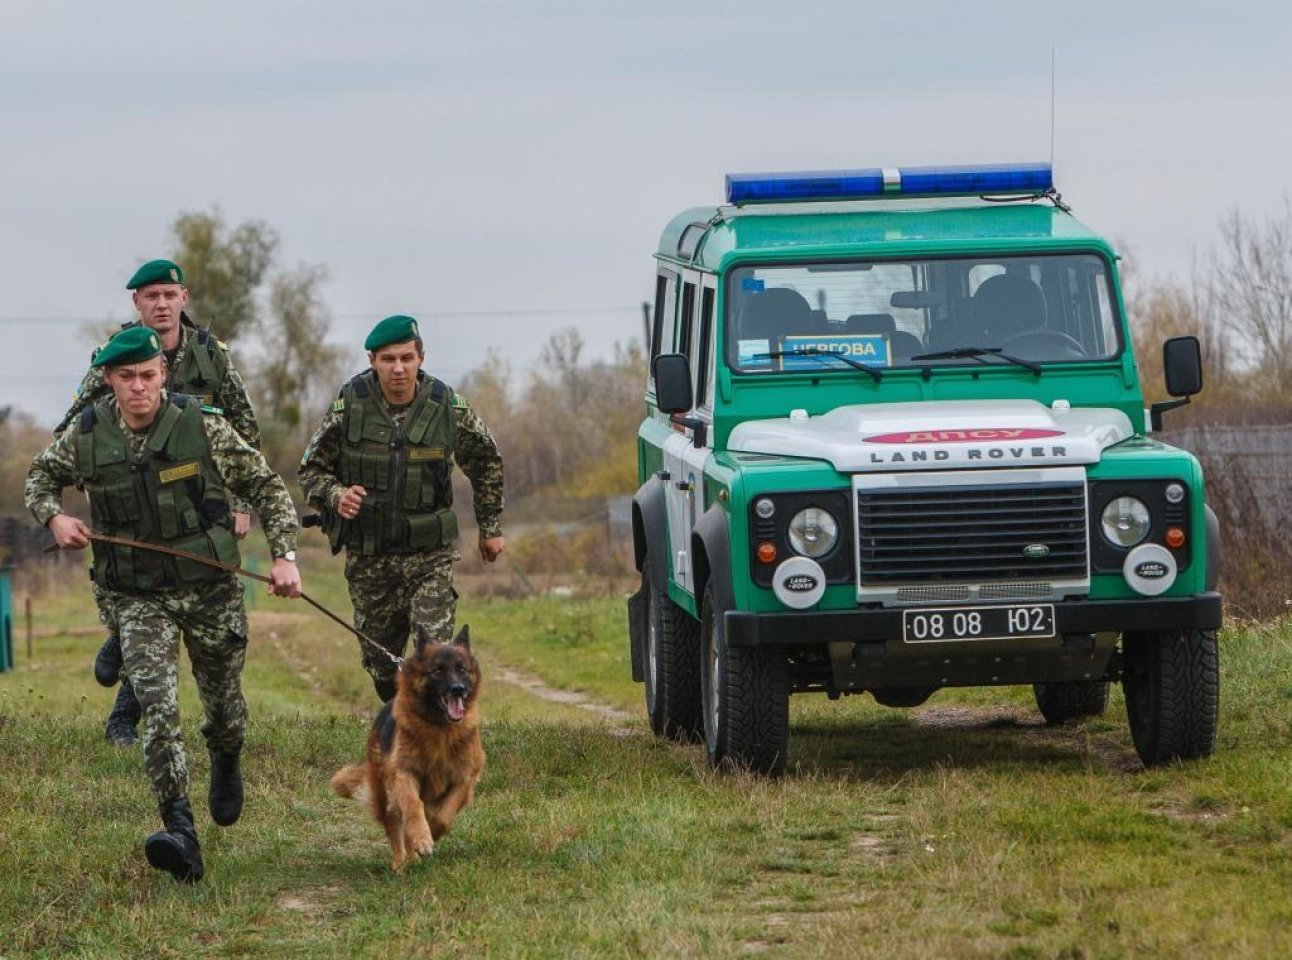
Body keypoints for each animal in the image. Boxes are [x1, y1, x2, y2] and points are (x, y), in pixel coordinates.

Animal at [333, 622, 485, 873]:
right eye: (438, 671)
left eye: (462, 669)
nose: (458, 689)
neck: (439, 729)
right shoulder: (404, 774)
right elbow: (414, 807)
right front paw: (422, 839)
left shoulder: (464, 778)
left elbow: (443, 817)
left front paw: (431, 832)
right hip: (384, 791)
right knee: (393, 822)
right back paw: (400, 862)